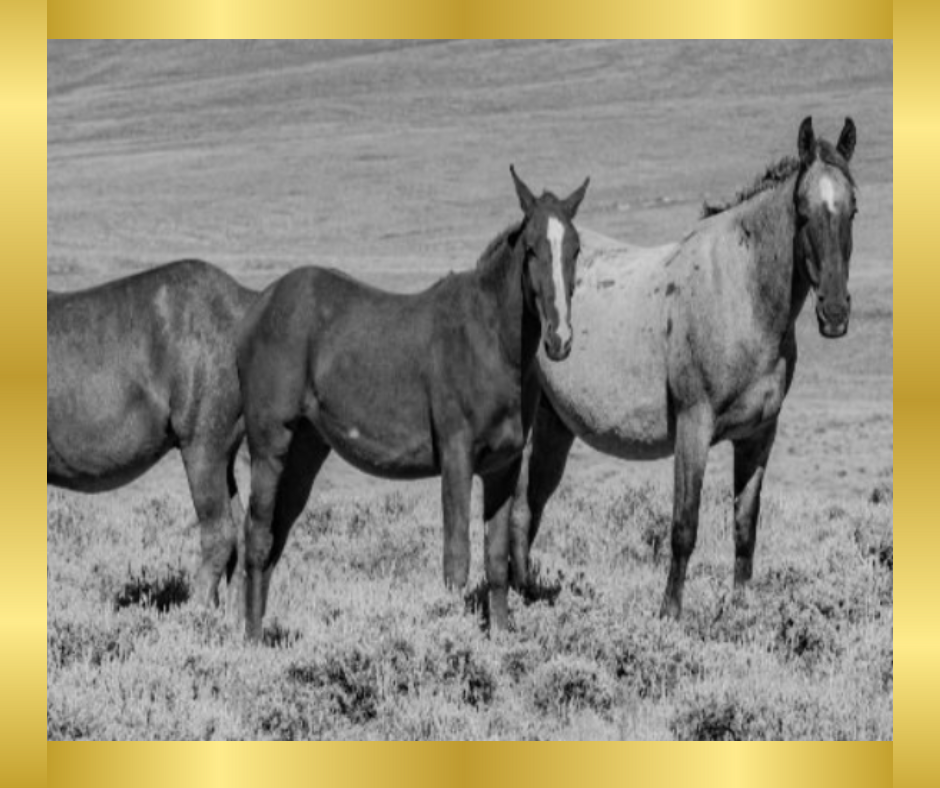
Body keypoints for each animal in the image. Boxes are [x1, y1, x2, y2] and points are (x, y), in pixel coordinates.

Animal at [237, 166, 590, 640]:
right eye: (531, 249)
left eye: (575, 249)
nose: (559, 340)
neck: (492, 341)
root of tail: (259, 307)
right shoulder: (457, 457)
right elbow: (456, 562)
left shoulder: (504, 465)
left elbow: (496, 561)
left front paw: (498, 637)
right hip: (270, 445)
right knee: (257, 536)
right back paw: (250, 642)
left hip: (305, 451)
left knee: (275, 534)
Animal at [507, 117, 858, 621]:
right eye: (804, 210)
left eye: (853, 209)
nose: (834, 313)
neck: (739, 294)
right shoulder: (694, 427)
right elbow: (684, 526)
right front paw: (669, 613)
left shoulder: (759, 435)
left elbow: (745, 526)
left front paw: (742, 607)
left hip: (554, 424)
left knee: (526, 506)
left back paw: (525, 593)